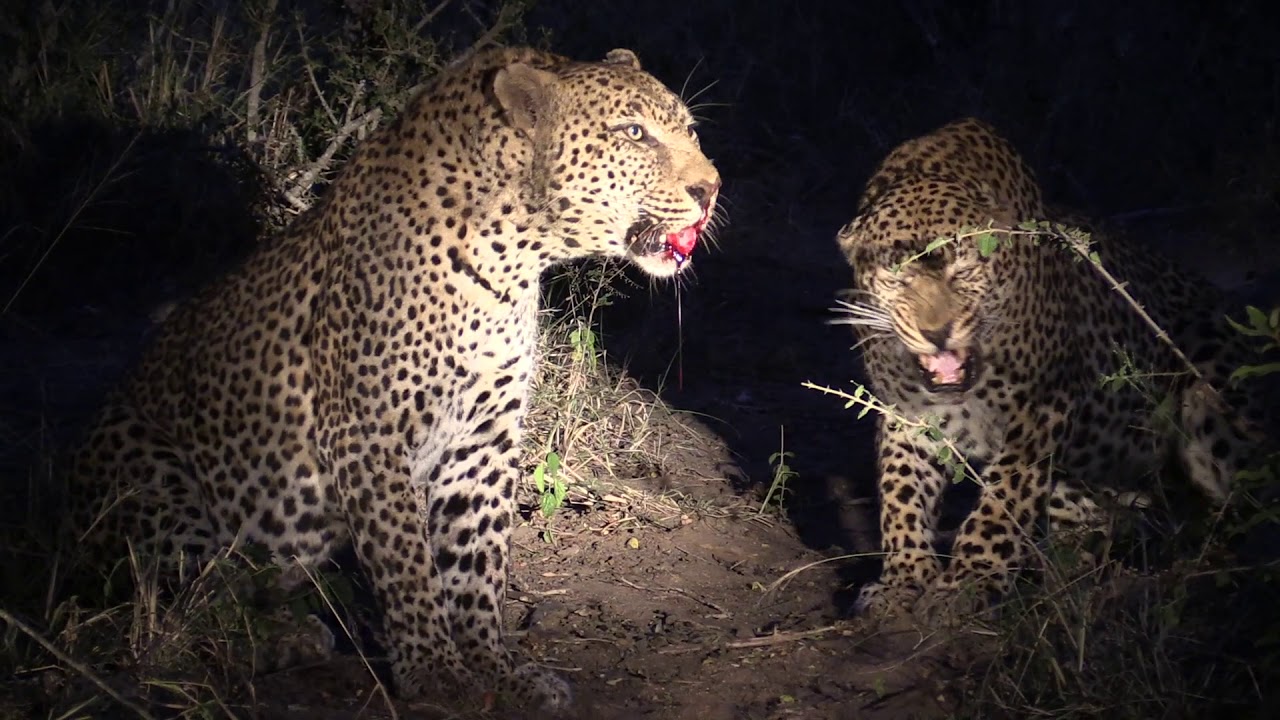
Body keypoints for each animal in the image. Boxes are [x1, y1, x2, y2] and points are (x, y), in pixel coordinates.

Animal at [64, 46, 720, 712]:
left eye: (690, 130)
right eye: (634, 133)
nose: (711, 188)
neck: (515, 257)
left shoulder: (482, 442)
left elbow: (477, 561)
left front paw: (496, 668)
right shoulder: (368, 433)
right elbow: (407, 560)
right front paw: (436, 673)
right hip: (151, 476)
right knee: (181, 615)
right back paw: (275, 639)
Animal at [832, 117, 1265, 619]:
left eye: (963, 271)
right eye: (898, 277)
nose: (937, 332)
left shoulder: (1039, 405)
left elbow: (1002, 500)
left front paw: (969, 581)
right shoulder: (906, 412)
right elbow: (901, 494)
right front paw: (904, 578)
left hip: (1208, 381)